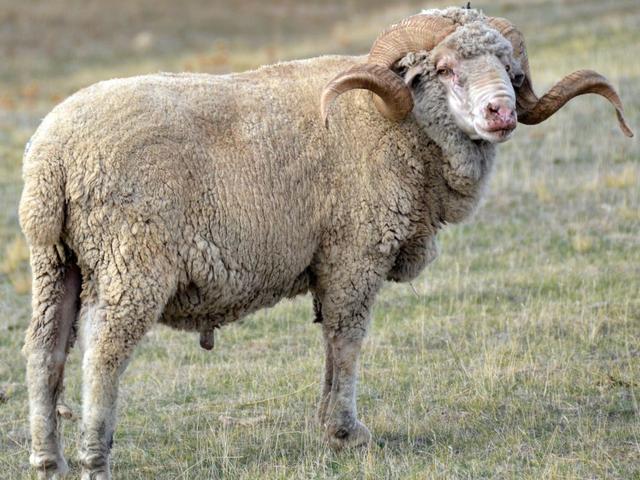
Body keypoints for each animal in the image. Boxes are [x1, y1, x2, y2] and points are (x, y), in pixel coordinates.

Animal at [19, 6, 632, 479]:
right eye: (445, 68)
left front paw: (331, 426)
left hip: (56, 262)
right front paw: (345, 431)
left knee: (44, 353)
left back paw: (47, 459)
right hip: (133, 262)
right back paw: (95, 458)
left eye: (509, 68)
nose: (501, 112)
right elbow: (346, 339)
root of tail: (55, 157)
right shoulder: (354, 253)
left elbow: (335, 344)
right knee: (103, 352)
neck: (396, 125)